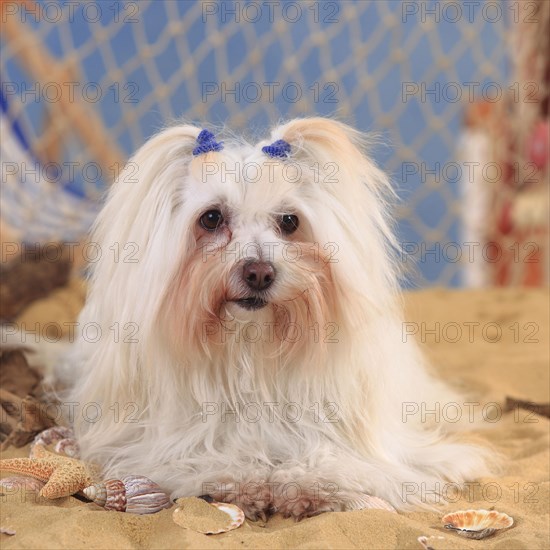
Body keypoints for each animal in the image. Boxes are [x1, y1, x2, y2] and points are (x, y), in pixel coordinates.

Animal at [66, 119, 496, 520]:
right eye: (211, 218)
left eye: (289, 221)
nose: (259, 272)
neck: (249, 350)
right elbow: (204, 452)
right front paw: (241, 479)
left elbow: (331, 456)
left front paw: (310, 483)